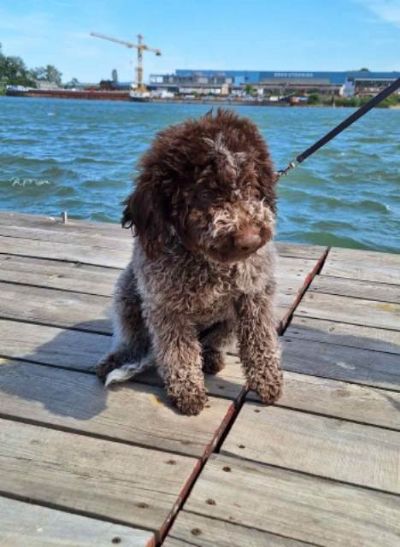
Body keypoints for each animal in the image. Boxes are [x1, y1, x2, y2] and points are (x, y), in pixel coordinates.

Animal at [97, 108, 282, 416]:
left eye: (249, 184)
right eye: (205, 193)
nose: (251, 240)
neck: (208, 264)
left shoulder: (254, 294)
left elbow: (261, 339)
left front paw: (268, 381)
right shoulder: (166, 307)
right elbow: (178, 353)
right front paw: (188, 392)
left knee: (215, 341)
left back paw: (211, 356)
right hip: (127, 292)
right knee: (133, 338)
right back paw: (117, 358)